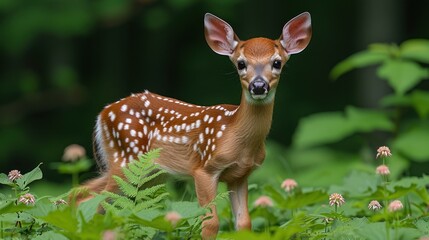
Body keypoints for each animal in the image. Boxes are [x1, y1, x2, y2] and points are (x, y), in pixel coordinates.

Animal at [81, 12, 310, 238]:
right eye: (241, 64)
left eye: (277, 63)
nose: (259, 86)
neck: (236, 134)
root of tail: (102, 113)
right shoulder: (204, 169)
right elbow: (210, 223)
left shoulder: (240, 175)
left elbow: (244, 222)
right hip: (125, 157)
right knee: (94, 201)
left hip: (147, 172)